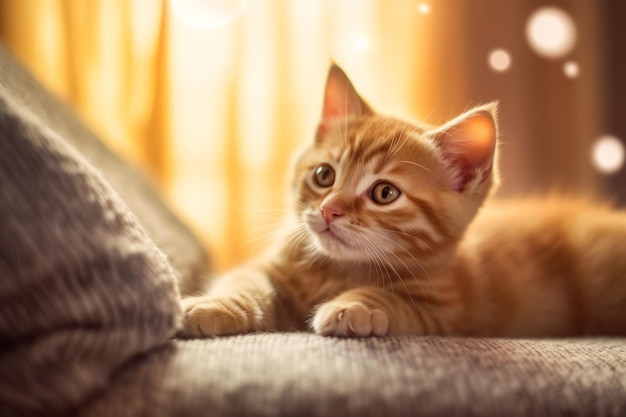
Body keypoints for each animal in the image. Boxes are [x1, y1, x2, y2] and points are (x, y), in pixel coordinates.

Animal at [179, 65, 624, 338]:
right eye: (324, 176)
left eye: (384, 194)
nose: (329, 210)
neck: (341, 269)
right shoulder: (268, 267)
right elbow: (244, 280)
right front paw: (211, 305)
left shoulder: (446, 311)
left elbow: (394, 301)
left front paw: (354, 306)